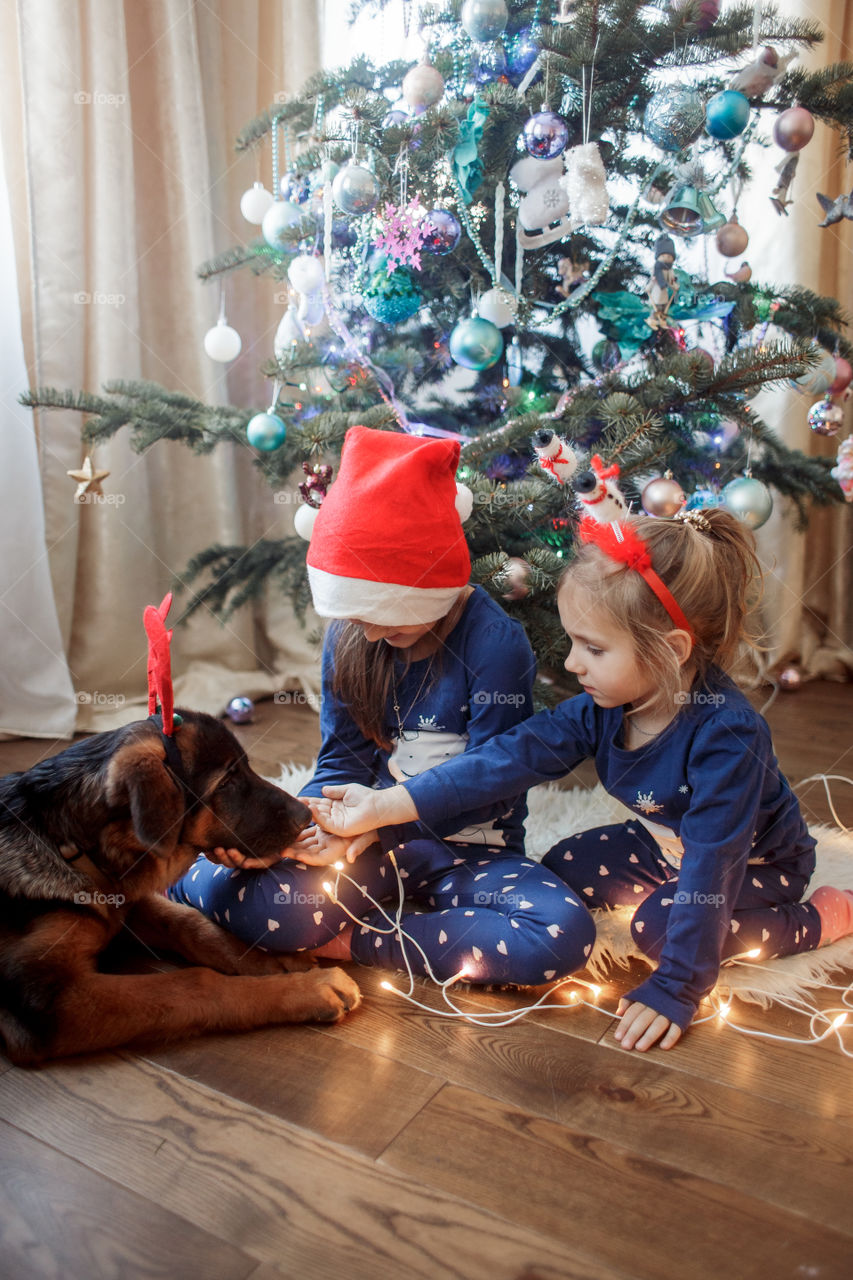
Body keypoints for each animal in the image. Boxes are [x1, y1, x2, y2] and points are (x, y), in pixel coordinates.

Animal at [0, 706, 358, 1064]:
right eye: (226, 781)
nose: (306, 816)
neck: (68, 841)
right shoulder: (47, 999)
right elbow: (197, 981)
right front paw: (308, 988)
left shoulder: (129, 903)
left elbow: (190, 923)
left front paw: (271, 959)